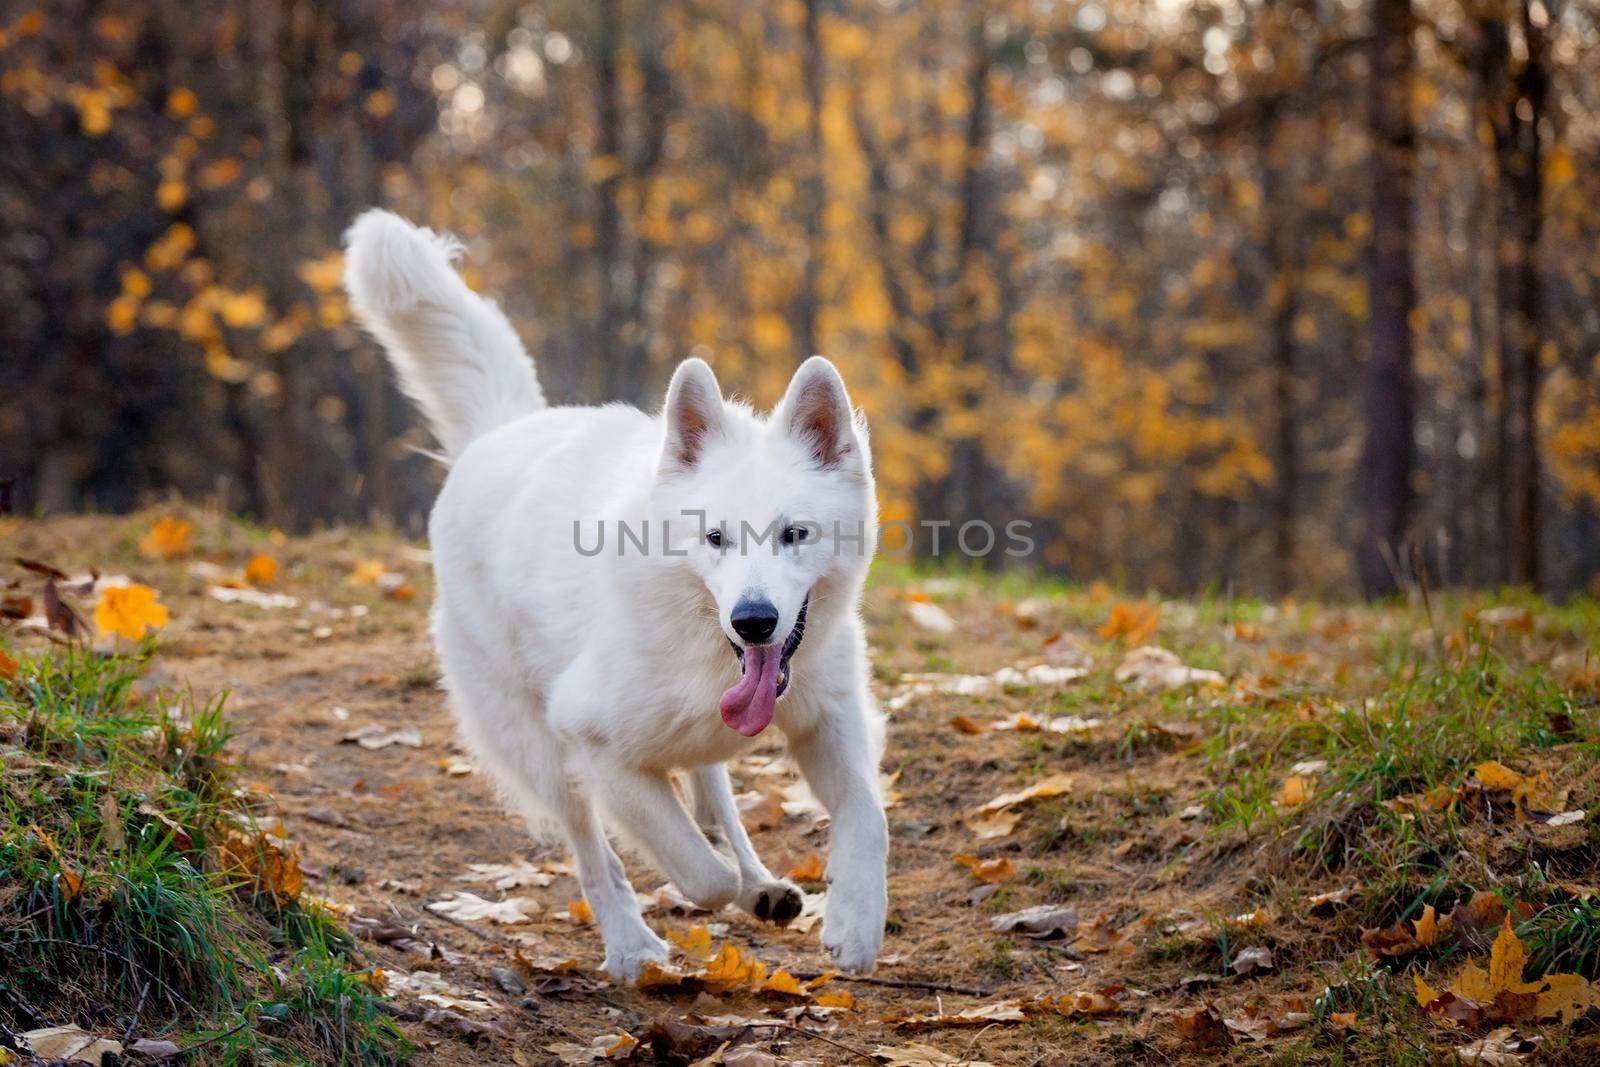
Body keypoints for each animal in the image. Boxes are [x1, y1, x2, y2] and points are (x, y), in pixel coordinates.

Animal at [344, 211, 889, 985]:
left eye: (794, 533)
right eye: (714, 537)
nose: (754, 622)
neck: (704, 645)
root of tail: (501, 430)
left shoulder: (830, 719)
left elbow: (866, 815)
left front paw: (856, 922)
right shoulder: (596, 747)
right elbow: (695, 869)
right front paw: (710, 892)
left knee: (711, 788)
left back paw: (759, 883)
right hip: (541, 750)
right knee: (595, 854)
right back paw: (632, 945)